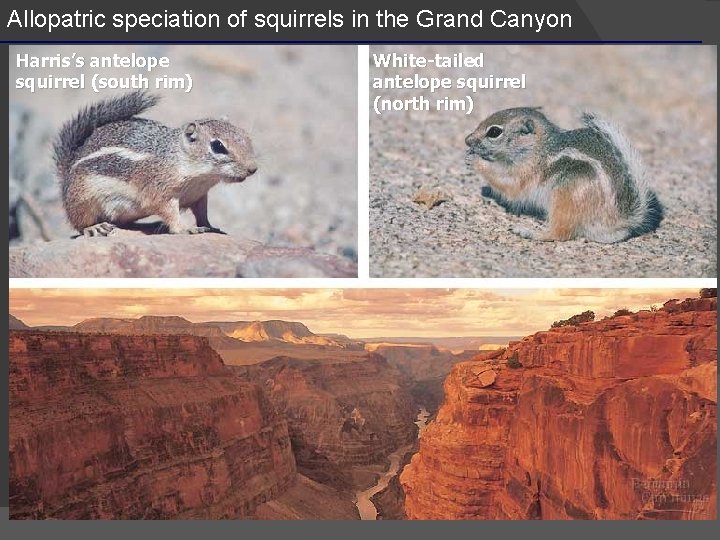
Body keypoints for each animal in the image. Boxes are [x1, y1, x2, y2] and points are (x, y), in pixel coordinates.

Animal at [54, 90, 258, 237]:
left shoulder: (200, 195)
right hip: (82, 198)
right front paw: (185, 228)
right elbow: (170, 214)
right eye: (218, 146)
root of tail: (67, 170)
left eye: (245, 134)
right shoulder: (161, 192)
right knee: (79, 222)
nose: (253, 168)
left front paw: (210, 226)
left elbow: (202, 214)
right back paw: (94, 228)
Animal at [464, 107, 663, 243]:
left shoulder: (525, 172)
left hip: (565, 197)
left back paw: (530, 232)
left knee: (559, 234)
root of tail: (617, 221)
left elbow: (509, 185)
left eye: (494, 132)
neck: (538, 147)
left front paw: (476, 161)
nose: (467, 140)